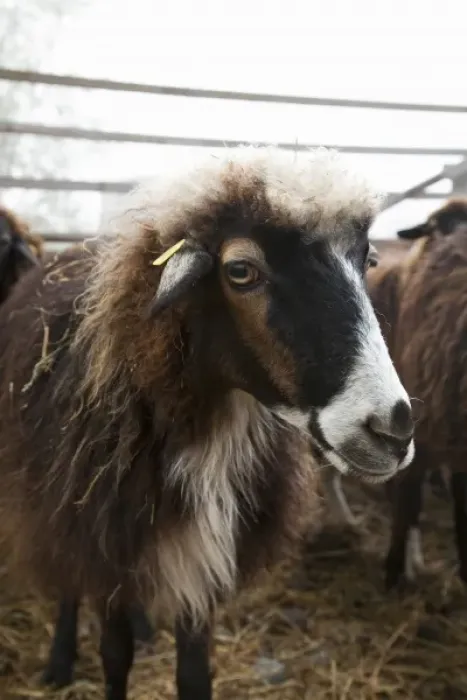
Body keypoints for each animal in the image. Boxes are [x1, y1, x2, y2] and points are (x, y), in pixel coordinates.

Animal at [0, 146, 414, 700]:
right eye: (240, 270)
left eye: (366, 261)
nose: (393, 428)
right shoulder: (104, 541)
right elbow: (114, 655)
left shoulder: (203, 563)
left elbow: (195, 673)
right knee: (68, 581)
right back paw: (61, 659)